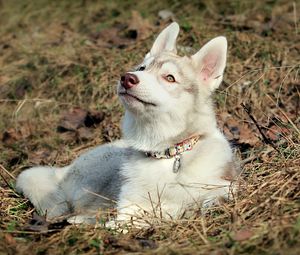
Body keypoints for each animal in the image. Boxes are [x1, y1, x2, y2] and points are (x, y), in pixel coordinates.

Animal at [16, 21, 238, 225]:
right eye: (141, 68)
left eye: (170, 78)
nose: (127, 78)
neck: (168, 153)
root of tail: (63, 169)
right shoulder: (129, 205)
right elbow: (128, 220)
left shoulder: (224, 187)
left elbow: (203, 201)